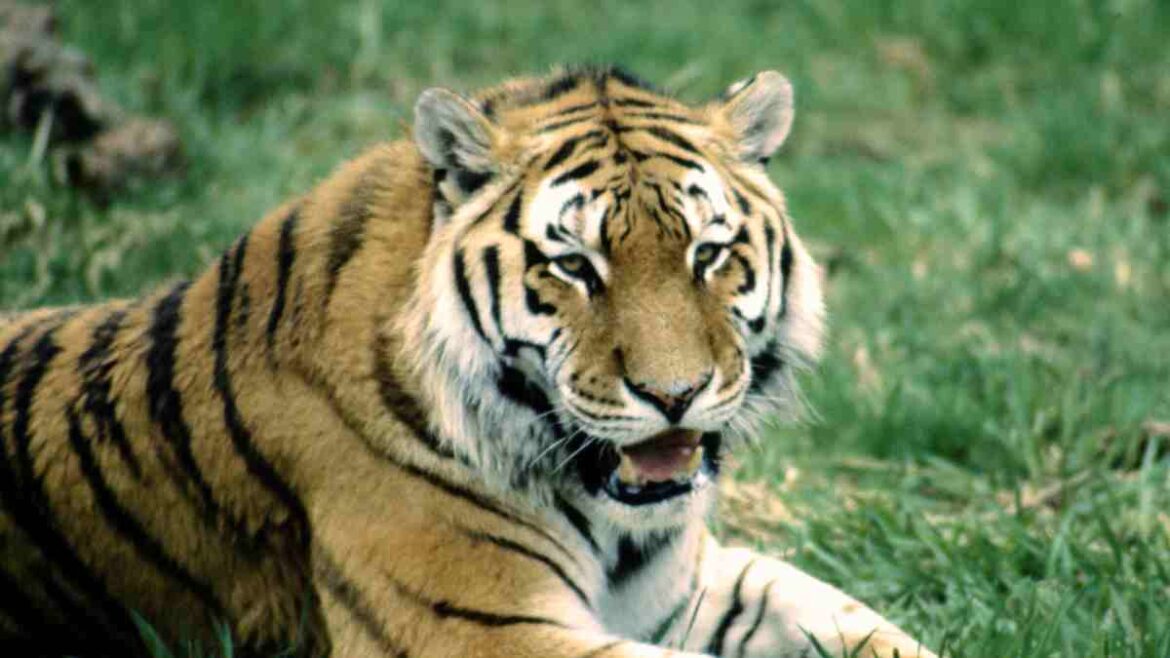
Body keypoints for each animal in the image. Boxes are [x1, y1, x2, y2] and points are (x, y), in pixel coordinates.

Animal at [0, 65, 938, 658]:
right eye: (575, 266)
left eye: (707, 253)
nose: (676, 395)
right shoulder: (479, 627)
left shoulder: (691, 586)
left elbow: (861, 625)